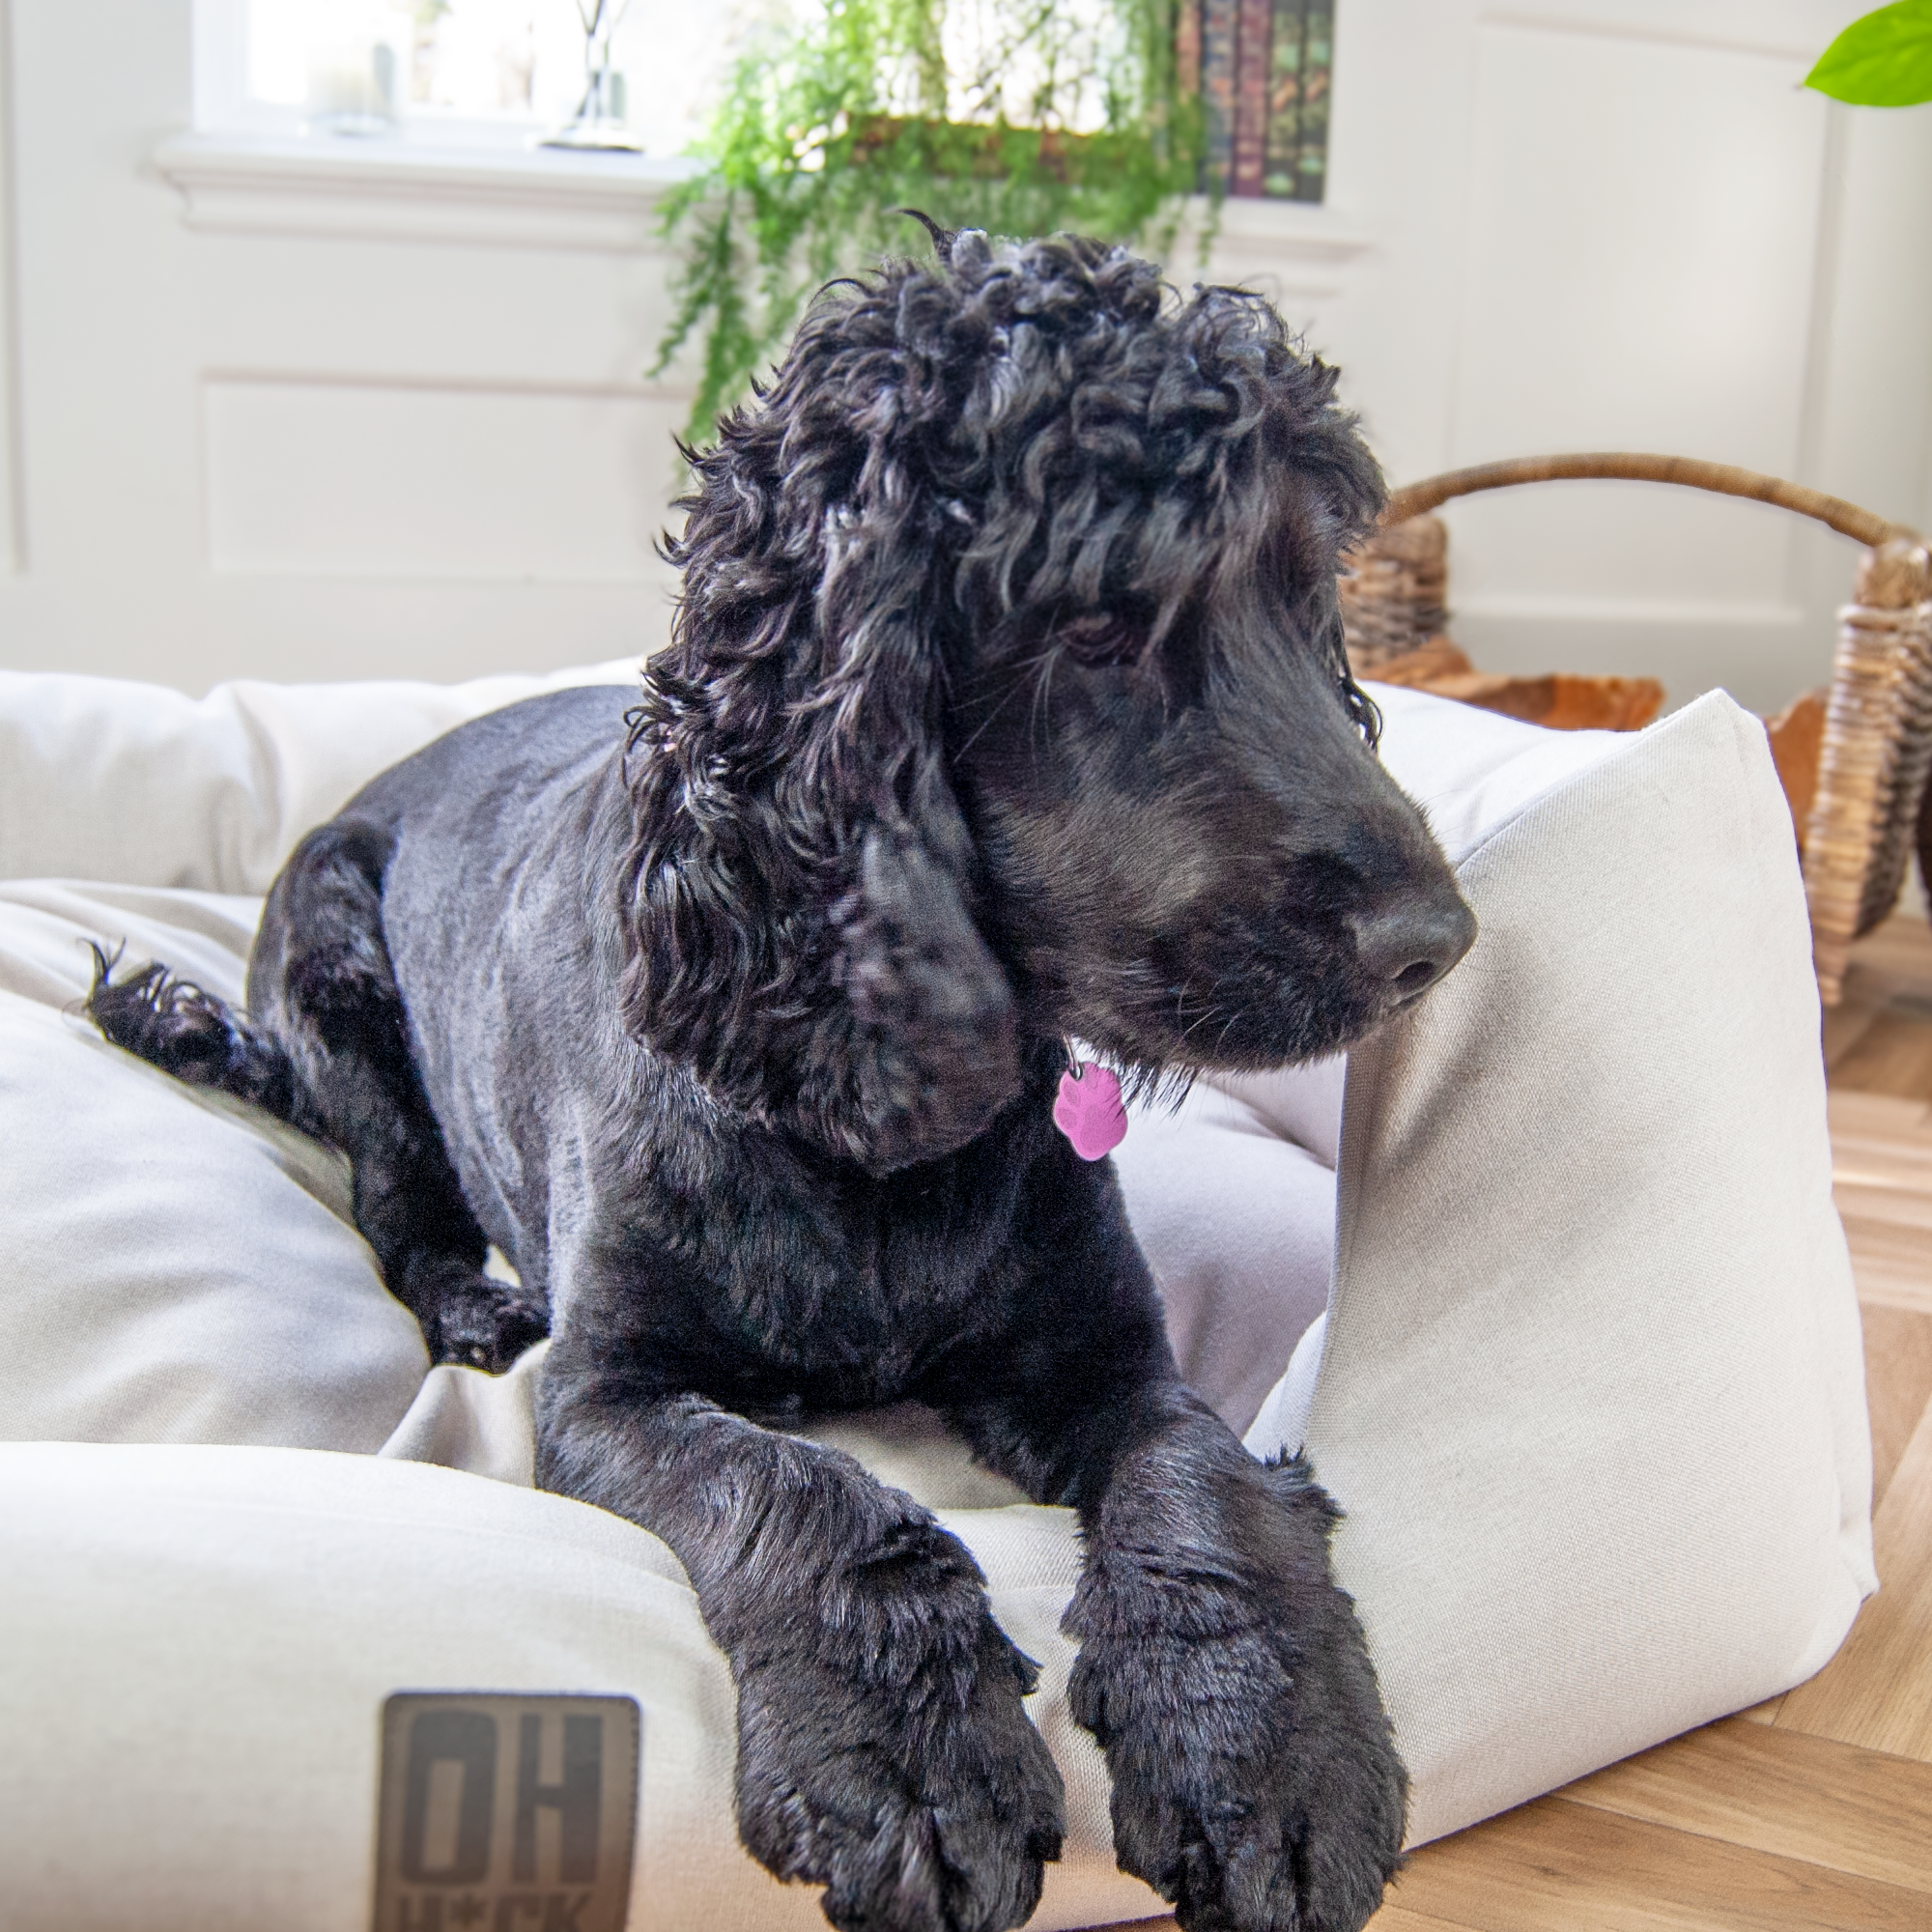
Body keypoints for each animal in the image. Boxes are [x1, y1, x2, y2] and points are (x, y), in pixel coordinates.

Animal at [94, 230, 1461, 1932]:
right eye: (1095, 629)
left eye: (1308, 599)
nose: (1439, 941)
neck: (867, 1131)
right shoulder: (607, 1394)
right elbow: (810, 1495)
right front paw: (912, 1758)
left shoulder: (1113, 1361)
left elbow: (1200, 1479)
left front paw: (1264, 1745)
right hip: (341, 975)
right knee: (398, 1208)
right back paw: (470, 1297)